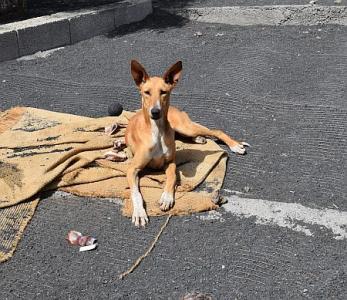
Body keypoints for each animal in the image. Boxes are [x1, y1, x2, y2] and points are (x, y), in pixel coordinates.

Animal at [124, 59, 247, 226]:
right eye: (146, 92)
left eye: (163, 92)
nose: (155, 112)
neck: (157, 131)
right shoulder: (132, 169)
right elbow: (135, 193)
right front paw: (139, 213)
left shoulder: (170, 162)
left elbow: (171, 178)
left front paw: (167, 197)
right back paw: (200, 139)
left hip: (186, 127)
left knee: (216, 131)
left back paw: (235, 146)